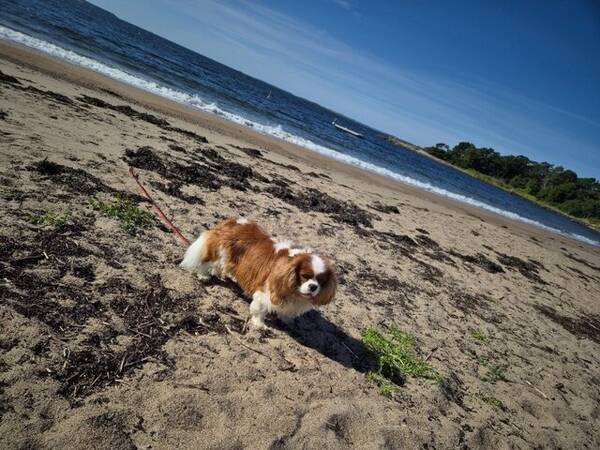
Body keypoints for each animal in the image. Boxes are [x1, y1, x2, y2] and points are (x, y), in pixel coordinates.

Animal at [178, 217, 338, 326]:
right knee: (206, 262)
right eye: (305, 276)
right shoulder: (265, 292)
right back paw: (204, 275)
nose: (313, 287)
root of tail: (234, 221)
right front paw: (259, 324)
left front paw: (286, 320)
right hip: (219, 249)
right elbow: (260, 309)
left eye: (321, 282)